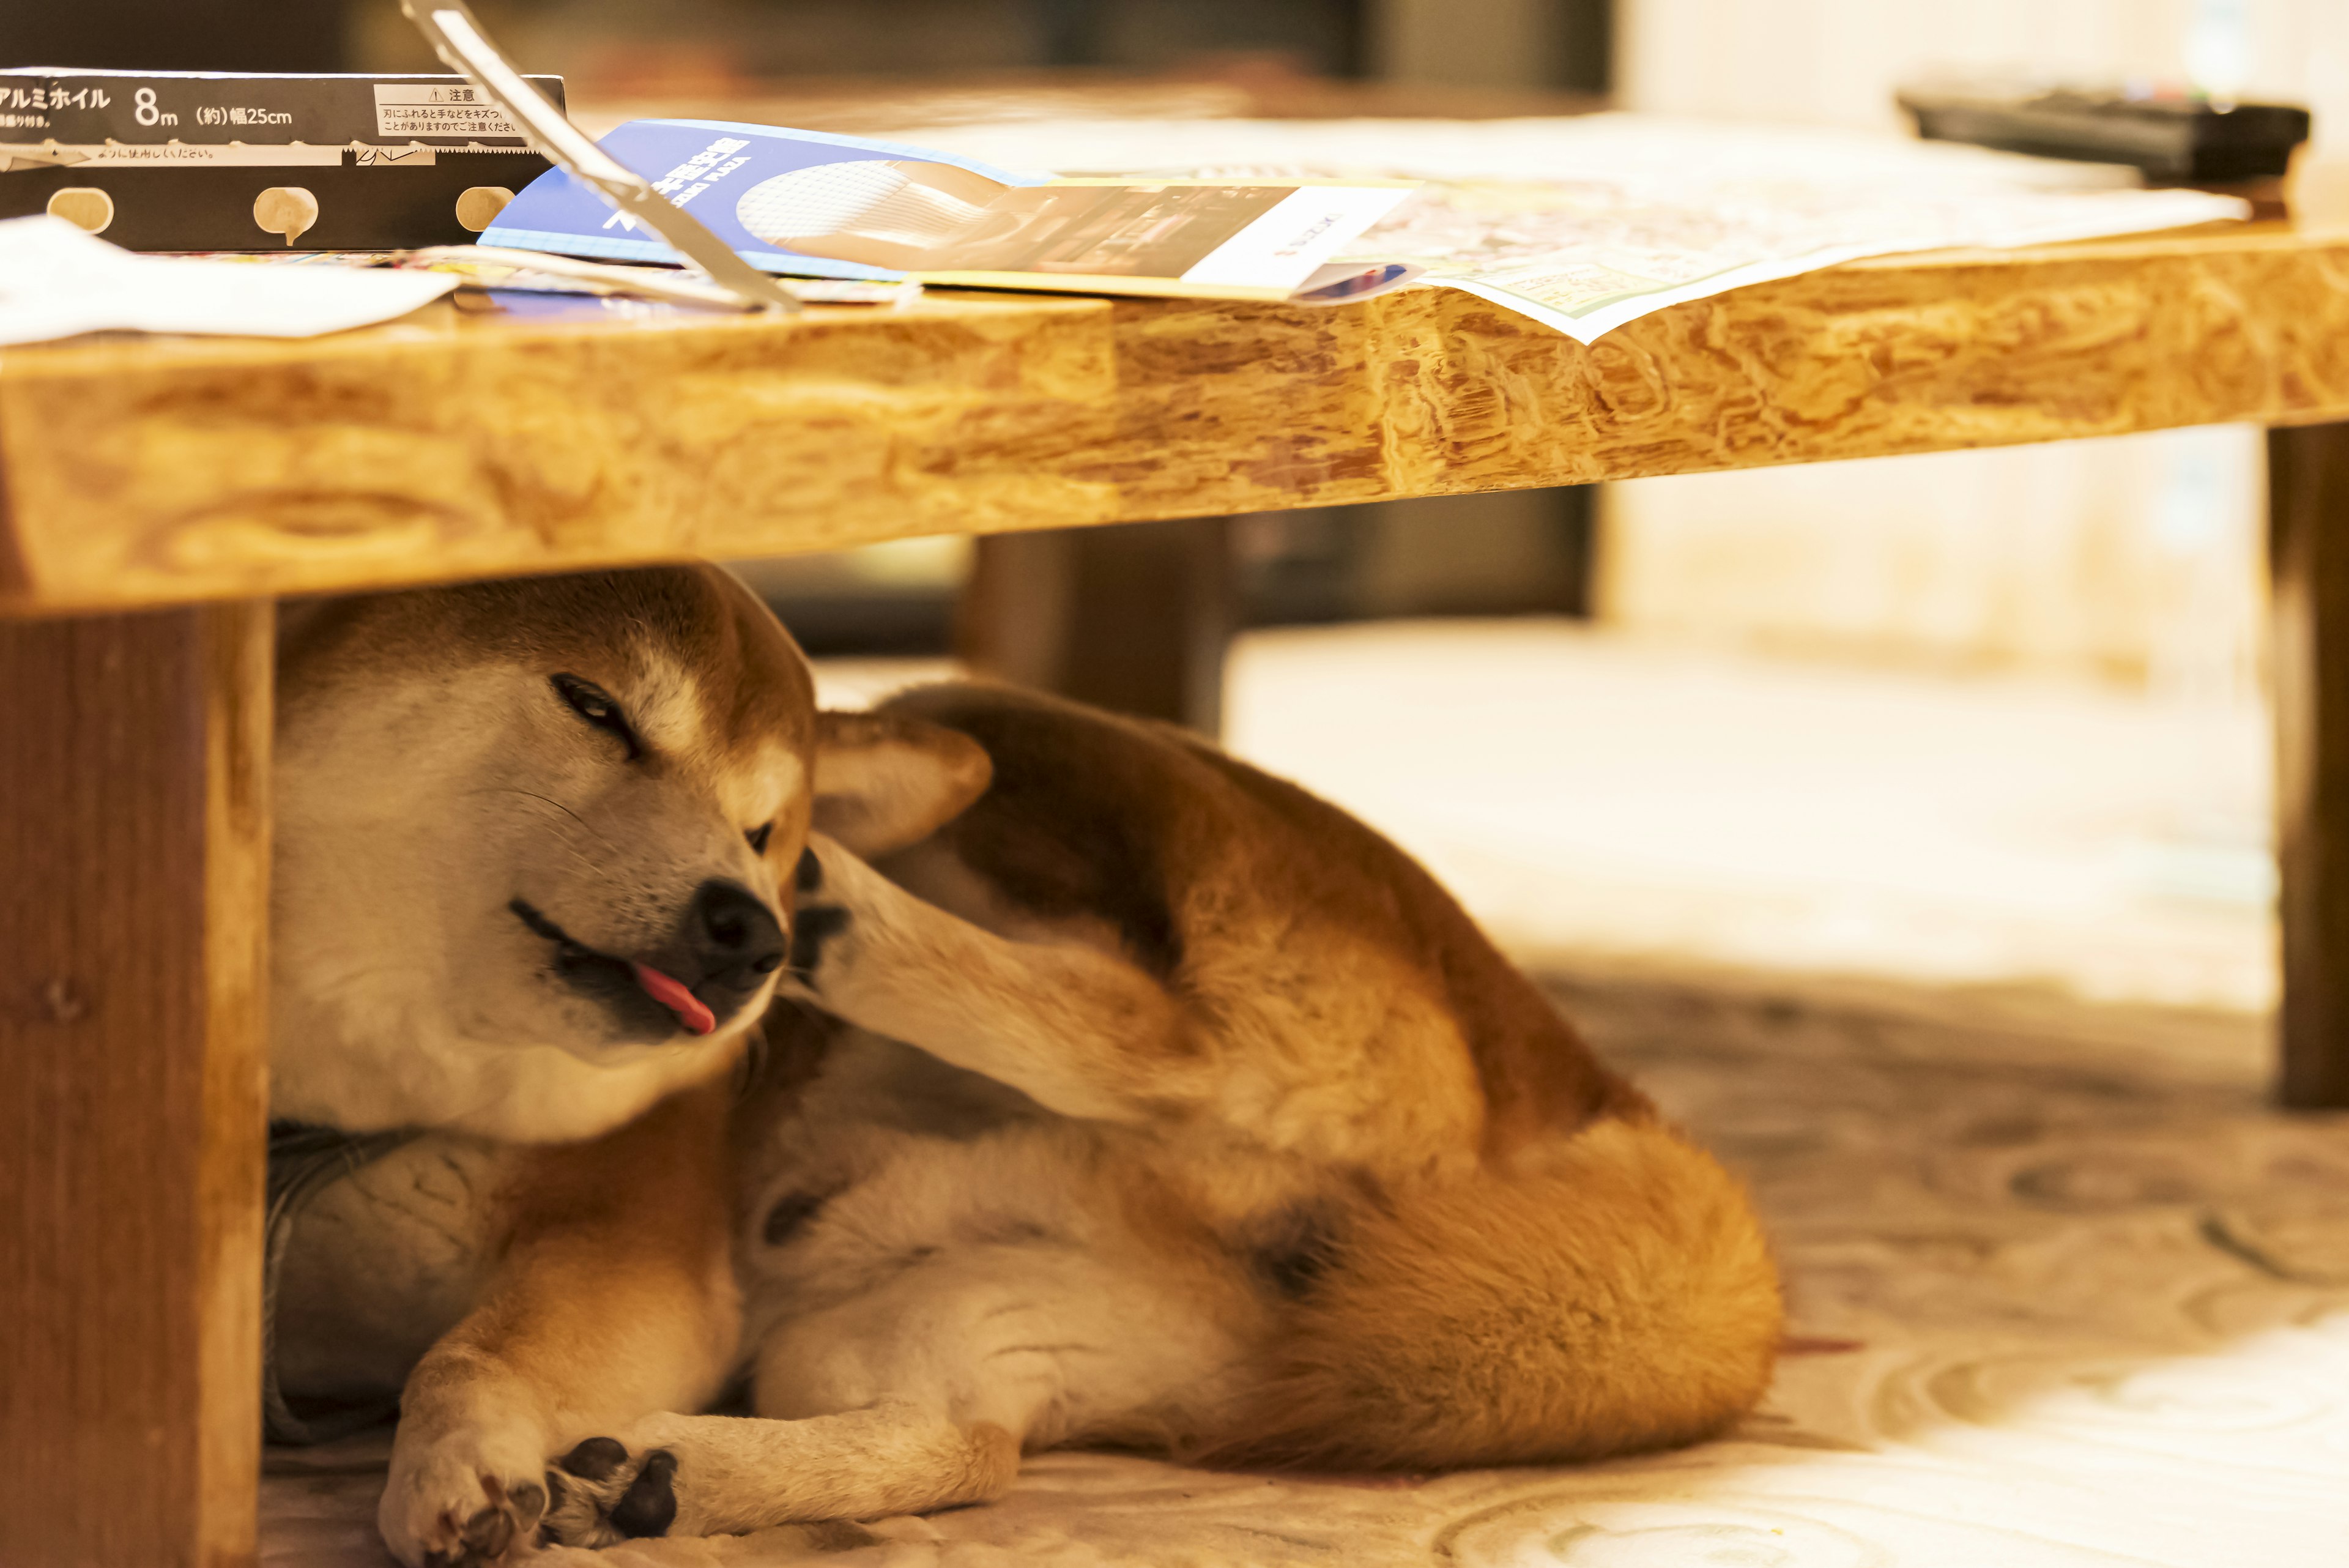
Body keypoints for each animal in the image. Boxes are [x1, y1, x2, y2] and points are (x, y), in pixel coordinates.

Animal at [524, 682, 1776, 1542]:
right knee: (964, 1440)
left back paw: (838, 915)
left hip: (1004, 739)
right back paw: (656, 1481)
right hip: (955, 1323)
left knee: (1157, 1038)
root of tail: (1579, 1087)